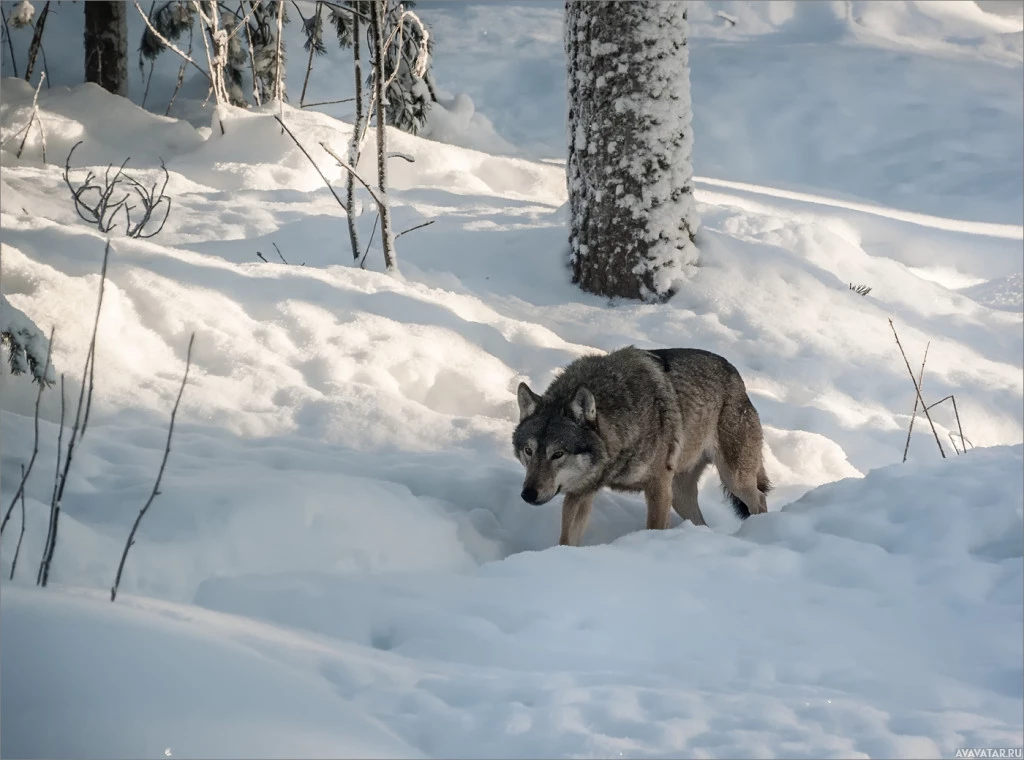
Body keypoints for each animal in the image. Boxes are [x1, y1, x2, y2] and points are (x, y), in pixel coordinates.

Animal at [516, 346, 770, 549]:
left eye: (557, 454)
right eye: (528, 451)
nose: (528, 494)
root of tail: (737, 376)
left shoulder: (657, 487)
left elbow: (654, 529)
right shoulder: (581, 491)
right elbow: (567, 538)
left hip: (734, 480)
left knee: (759, 499)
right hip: (680, 496)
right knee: (701, 523)